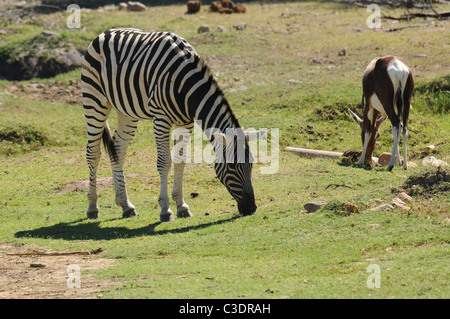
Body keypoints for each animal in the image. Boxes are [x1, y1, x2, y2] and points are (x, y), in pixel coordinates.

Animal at [81, 28, 260, 222]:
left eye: (251, 163)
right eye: (233, 166)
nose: (251, 208)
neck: (185, 84)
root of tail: (106, 32)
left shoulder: (186, 122)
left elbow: (180, 161)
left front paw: (181, 206)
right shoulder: (161, 119)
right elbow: (164, 162)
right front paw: (166, 209)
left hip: (127, 112)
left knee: (118, 150)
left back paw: (126, 205)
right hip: (94, 100)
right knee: (93, 153)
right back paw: (92, 206)